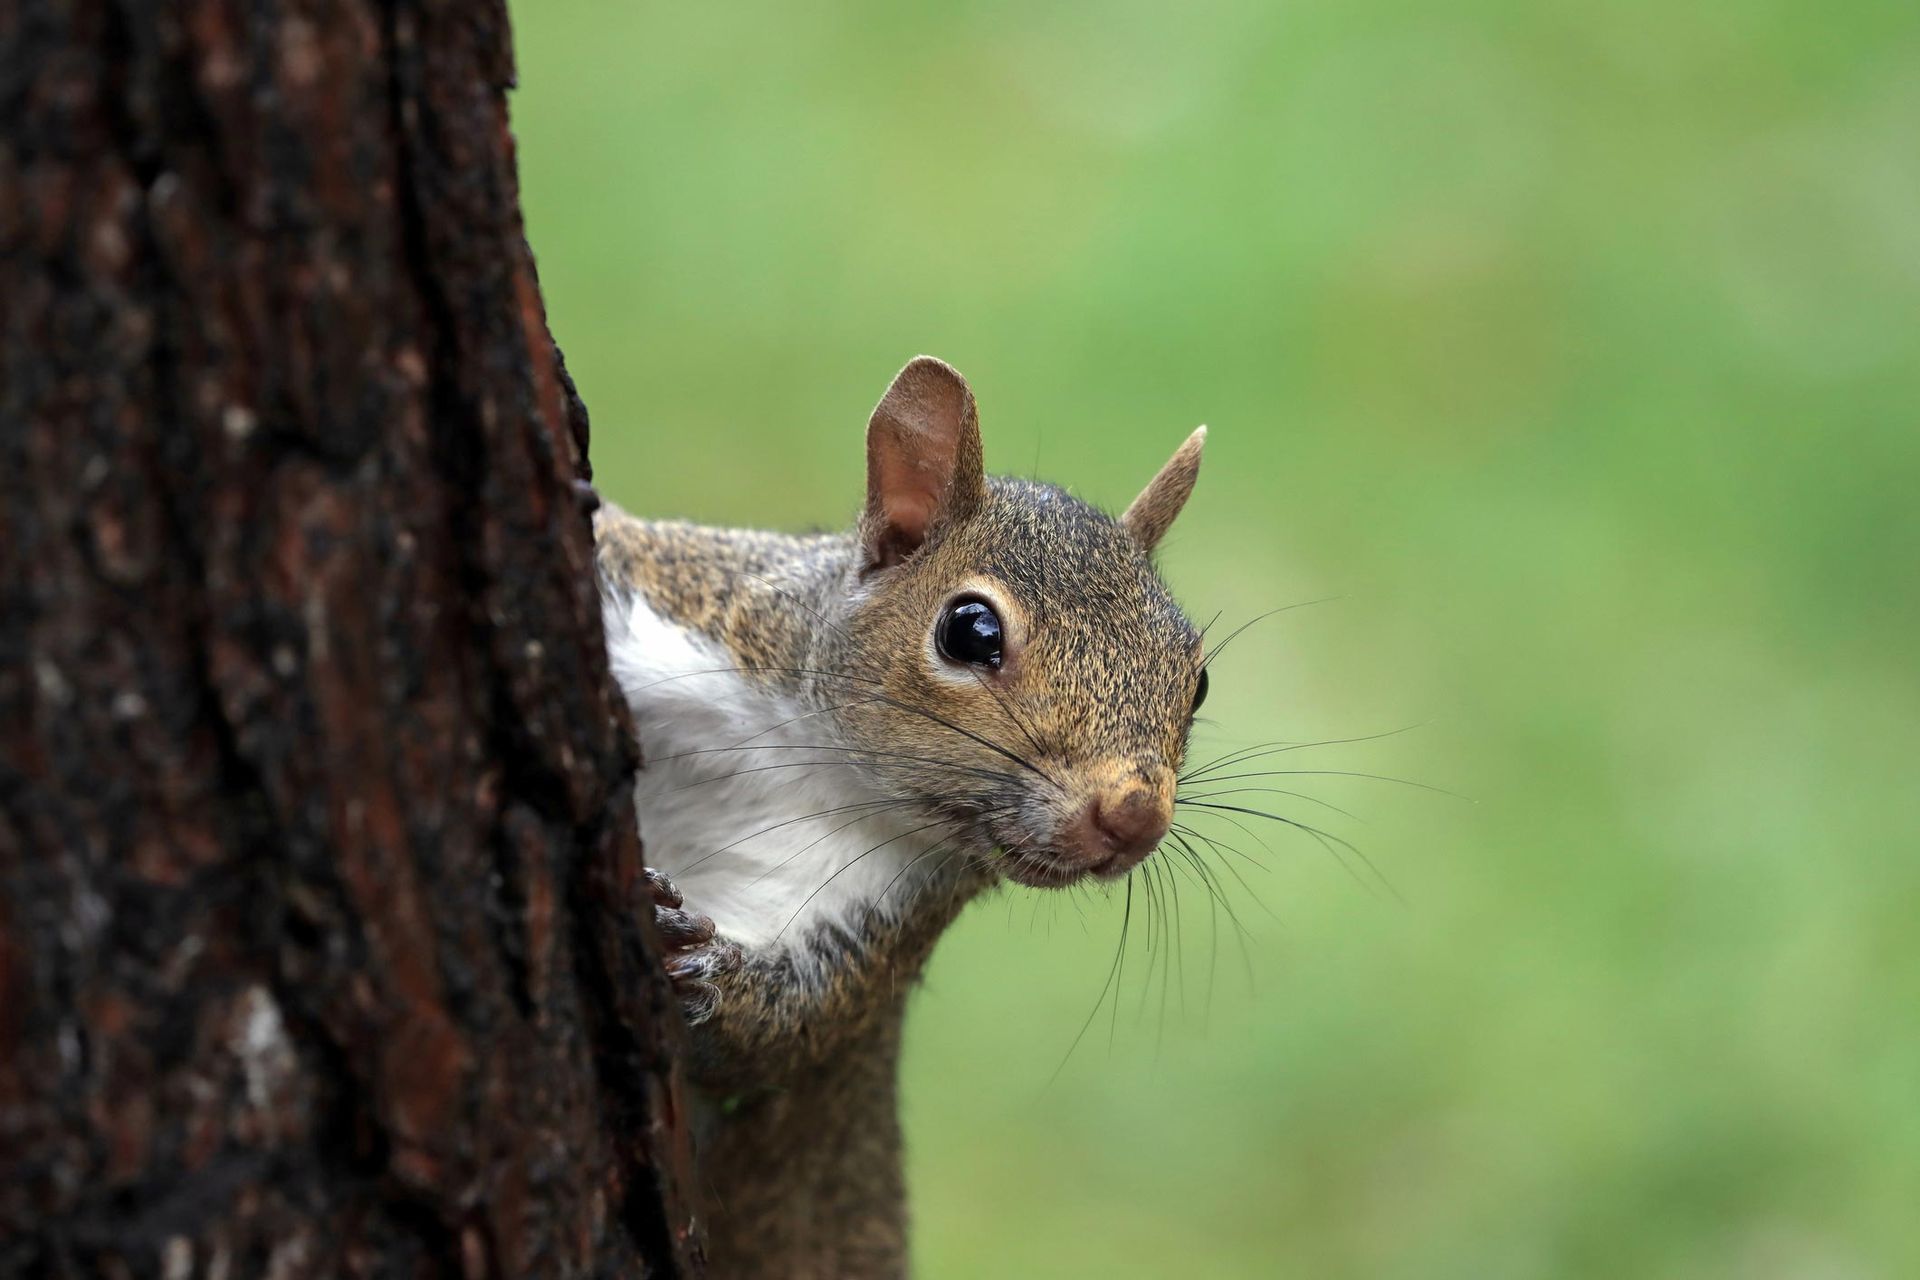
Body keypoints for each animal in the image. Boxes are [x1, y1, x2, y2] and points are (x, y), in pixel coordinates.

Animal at [593, 356, 1209, 1279]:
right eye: (970, 630)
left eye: (1196, 678)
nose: (1135, 816)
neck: (819, 764)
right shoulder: (695, 606)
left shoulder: (889, 913)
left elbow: (776, 1032)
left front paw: (695, 959)